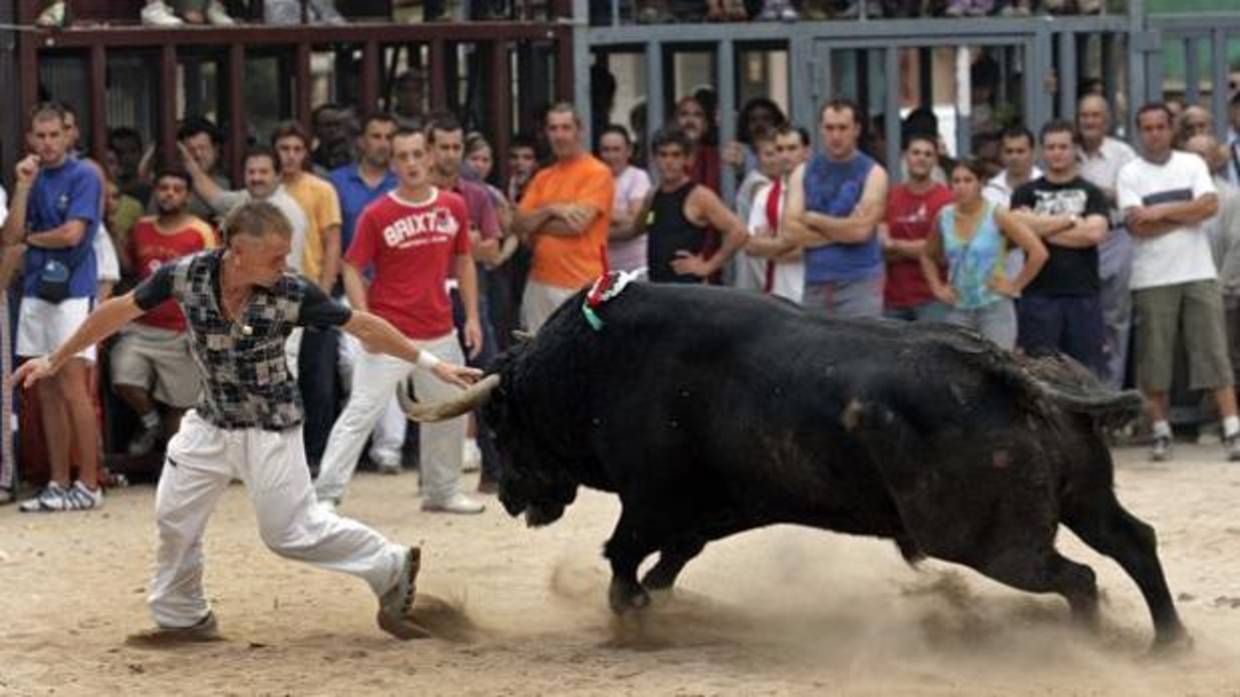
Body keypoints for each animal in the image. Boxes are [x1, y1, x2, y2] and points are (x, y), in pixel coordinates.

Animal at [401, 280, 1185, 644]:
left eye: (500, 422)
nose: (511, 496)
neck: (594, 363)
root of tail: (1006, 367)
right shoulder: (708, 511)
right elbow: (666, 562)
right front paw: (658, 604)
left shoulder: (652, 499)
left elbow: (623, 557)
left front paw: (632, 618)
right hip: (1082, 496)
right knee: (1132, 541)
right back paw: (1166, 645)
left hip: (989, 541)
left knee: (1079, 577)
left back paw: (1085, 644)